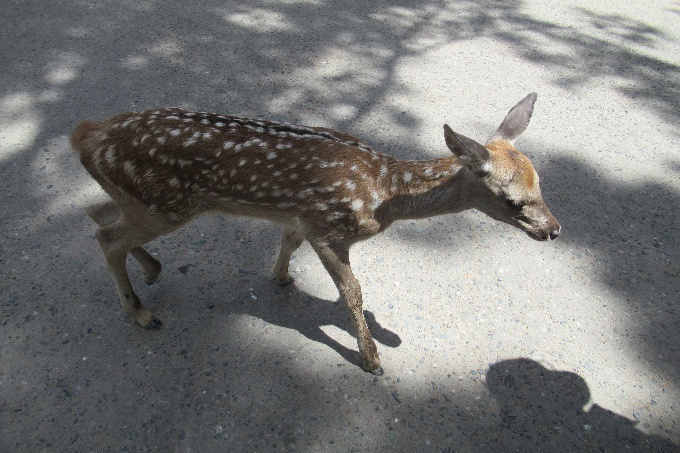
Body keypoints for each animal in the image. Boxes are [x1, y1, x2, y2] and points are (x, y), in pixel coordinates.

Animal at [70, 92, 556, 374]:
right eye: (513, 201)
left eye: (541, 185)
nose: (554, 229)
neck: (384, 192)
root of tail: (84, 133)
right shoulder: (328, 229)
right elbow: (352, 291)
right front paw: (372, 359)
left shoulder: (300, 217)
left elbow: (288, 242)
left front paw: (283, 277)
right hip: (164, 205)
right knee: (107, 238)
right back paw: (141, 312)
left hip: (142, 201)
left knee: (97, 214)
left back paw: (152, 269)